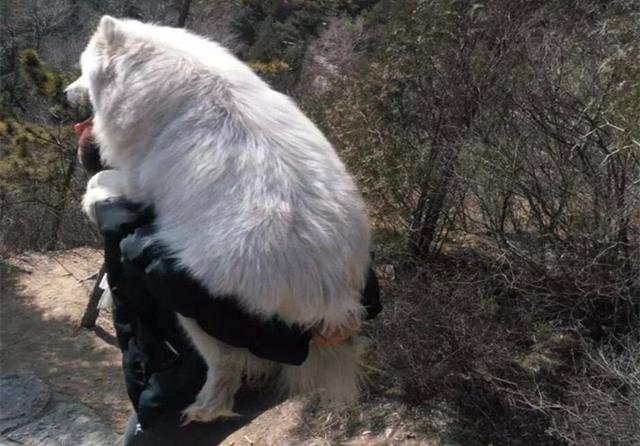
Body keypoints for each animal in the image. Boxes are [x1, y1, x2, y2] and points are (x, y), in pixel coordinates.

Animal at [69, 15, 370, 424]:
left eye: (82, 68)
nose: (67, 92)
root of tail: (331, 297)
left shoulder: (137, 178)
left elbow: (100, 179)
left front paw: (91, 198)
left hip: (189, 292)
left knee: (225, 363)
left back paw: (203, 408)